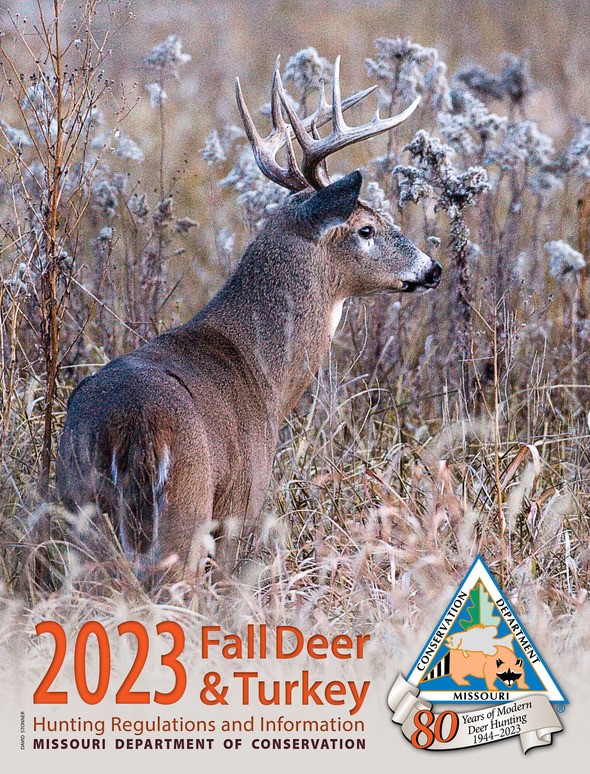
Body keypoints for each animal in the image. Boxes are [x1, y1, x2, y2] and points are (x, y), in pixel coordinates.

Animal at [56, 56, 442, 582]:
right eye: (367, 228)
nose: (433, 268)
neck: (264, 374)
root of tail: (132, 431)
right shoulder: (243, 504)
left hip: (77, 510)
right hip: (187, 512)